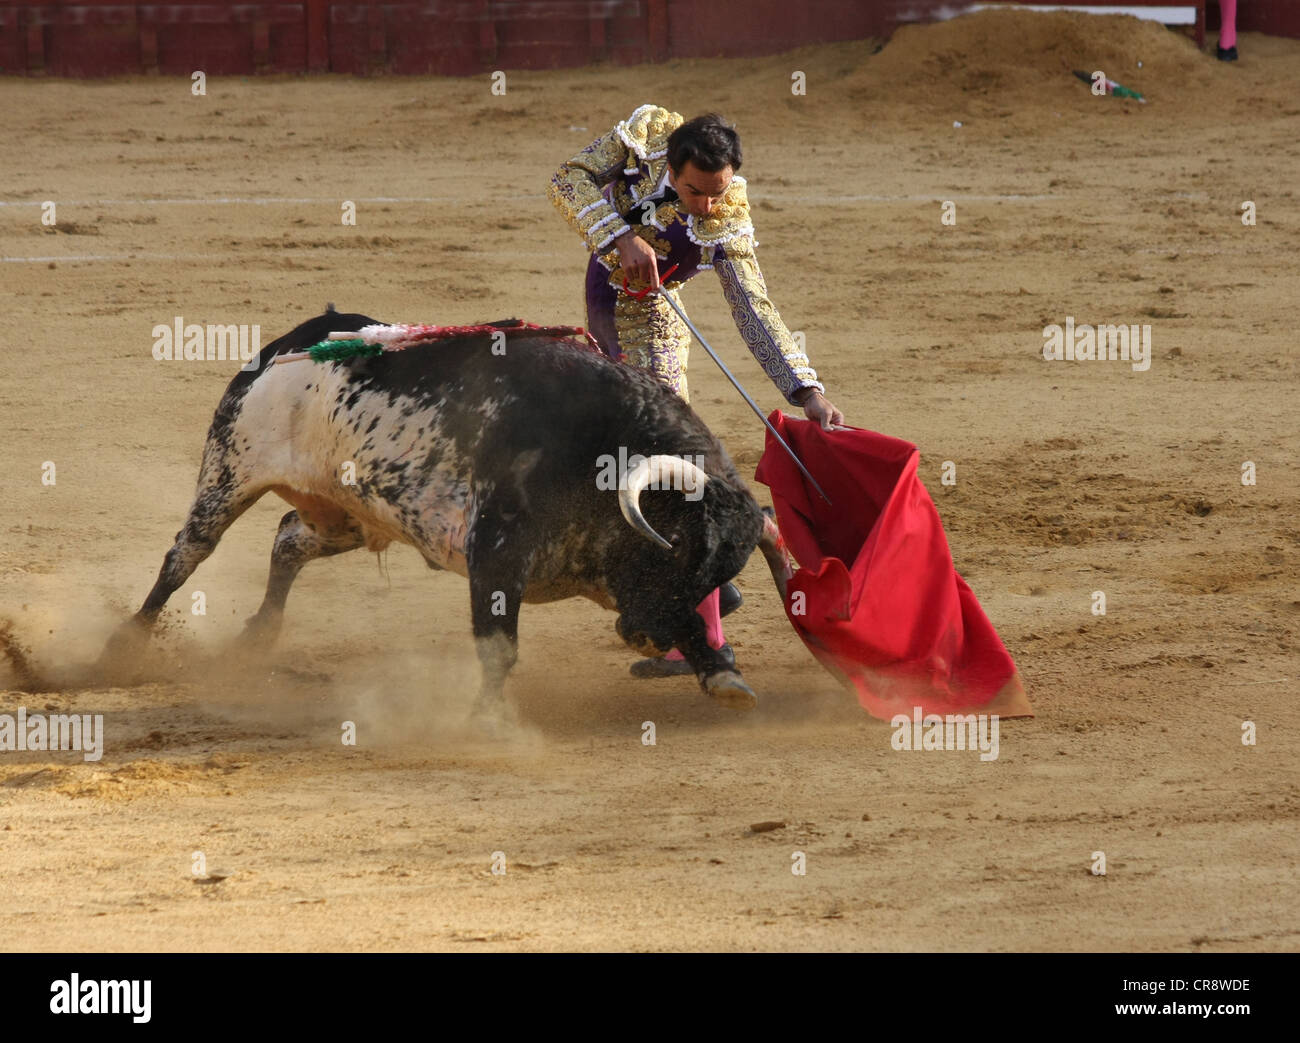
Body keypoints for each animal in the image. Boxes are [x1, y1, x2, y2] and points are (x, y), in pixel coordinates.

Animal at [104, 304, 790, 717]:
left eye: (720, 572)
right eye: (678, 546)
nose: (646, 637)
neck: (601, 452)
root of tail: (294, 339)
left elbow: (690, 626)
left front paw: (722, 677)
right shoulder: (496, 556)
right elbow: (499, 648)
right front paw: (487, 721)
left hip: (344, 515)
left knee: (287, 540)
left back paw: (260, 634)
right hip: (231, 469)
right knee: (187, 553)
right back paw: (124, 644)